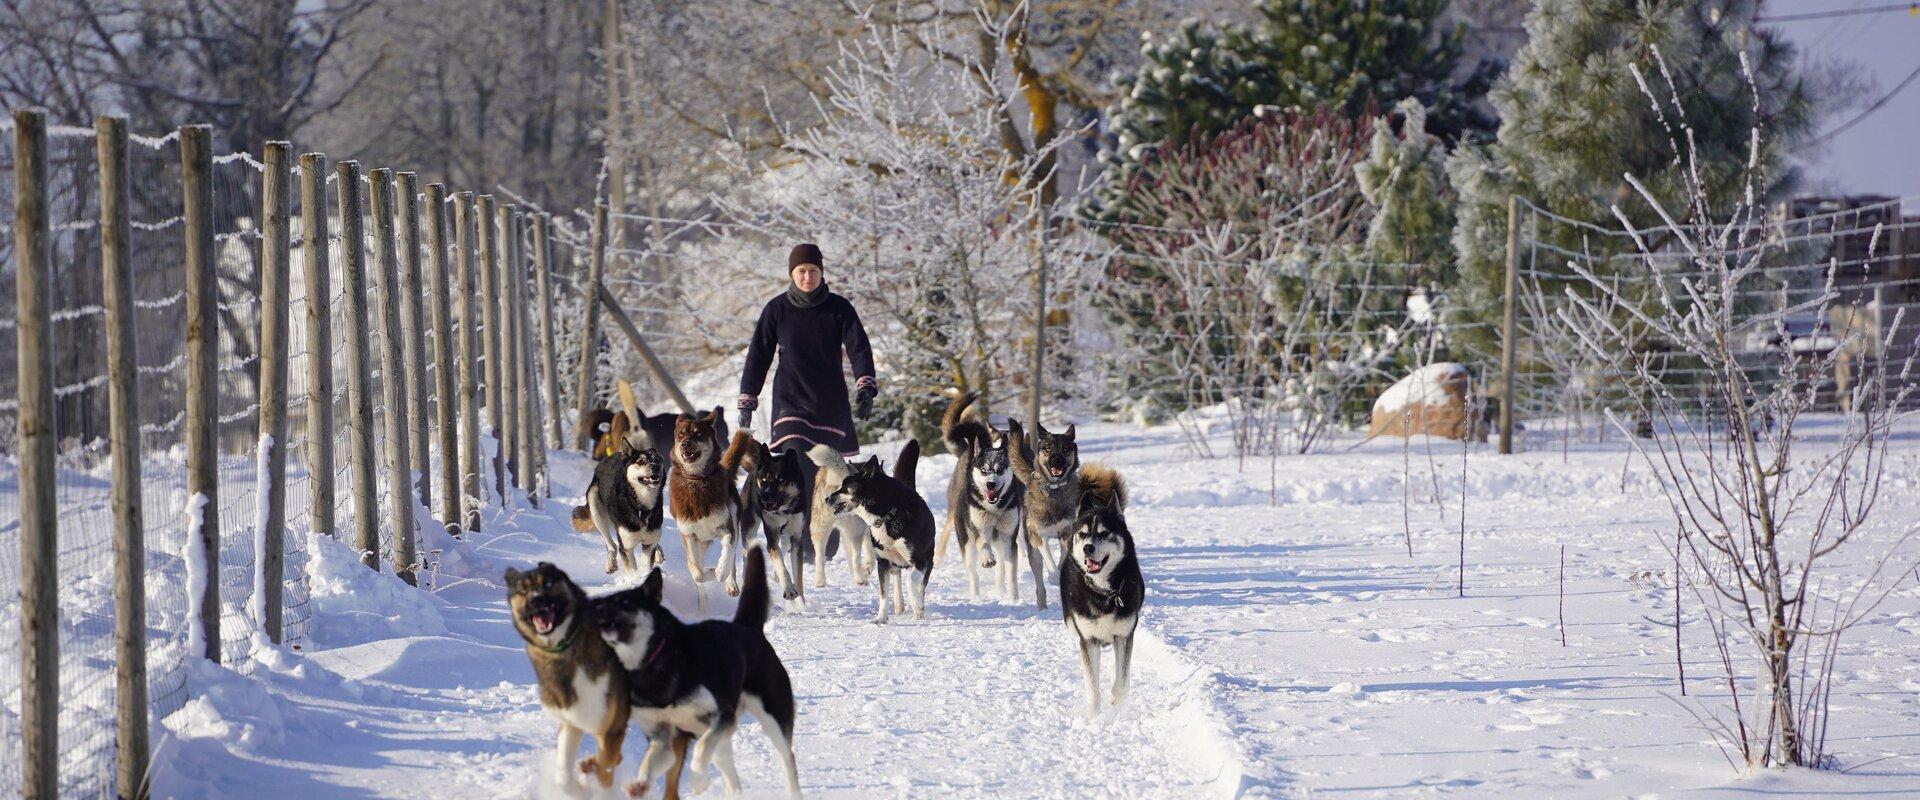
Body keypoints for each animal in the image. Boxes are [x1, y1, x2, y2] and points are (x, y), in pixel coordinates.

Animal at [503, 560, 629, 786]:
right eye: (523, 590)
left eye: (548, 583)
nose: (537, 600)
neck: (564, 651)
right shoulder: (571, 721)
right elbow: (563, 775)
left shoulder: (609, 726)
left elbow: (605, 769)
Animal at [583, 544, 794, 794]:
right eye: (601, 611)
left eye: (627, 604)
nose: (601, 622)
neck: (653, 664)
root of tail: (746, 627)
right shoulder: (662, 738)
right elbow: (649, 762)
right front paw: (639, 784)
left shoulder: (721, 716)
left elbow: (701, 750)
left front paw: (698, 781)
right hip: (724, 740)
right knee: (730, 774)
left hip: (773, 719)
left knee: (787, 758)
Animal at [664, 408, 744, 613]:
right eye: (681, 434)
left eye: (699, 434)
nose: (685, 444)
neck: (697, 480)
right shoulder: (689, 535)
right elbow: (698, 573)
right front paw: (710, 571)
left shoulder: (726, 528)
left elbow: (727, 553)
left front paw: (719, 571)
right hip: (699, 543)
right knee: (695, 569)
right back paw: (703, 607)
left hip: (734, 518)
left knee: (732, 558)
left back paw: (730, 583)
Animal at [940, 389, 1029, 602]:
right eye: (984, 470)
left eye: (1000, 469)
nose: (991, 484)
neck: (994, 509)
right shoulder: (979, 530)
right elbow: (983, 544)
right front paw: (988, 558)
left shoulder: (1008, 539)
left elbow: (1011, 571)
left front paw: (1013, 598)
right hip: (967, 545)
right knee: (973, 572)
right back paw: (976, 595)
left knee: (1001, 567)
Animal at [1006, 418, 1121, 606]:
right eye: (1047, 448)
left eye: (1065, 449)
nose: (1055, 461)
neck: (1055, 492)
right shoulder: (1040, 535)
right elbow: (1049, 558)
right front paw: (1054, 576)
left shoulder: (1068, 533)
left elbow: (1064, 556)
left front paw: (1062, 572)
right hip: (1032, 550)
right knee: (1039, 578)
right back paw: (1042, 604)